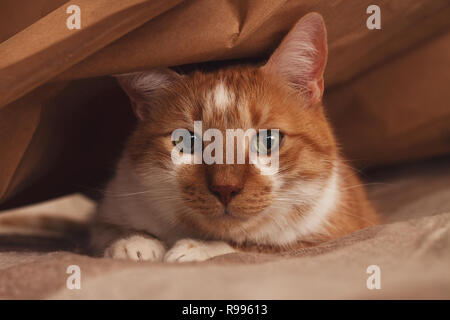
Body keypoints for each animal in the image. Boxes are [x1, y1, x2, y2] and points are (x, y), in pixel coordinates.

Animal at [91, 12, 380, 262]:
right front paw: (133, 243)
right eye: (187, 141)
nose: (225, 188)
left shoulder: (332, 229)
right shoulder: (117, 198)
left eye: (268, 140)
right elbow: (107, 230)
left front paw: (194, 249)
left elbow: (259, 247)